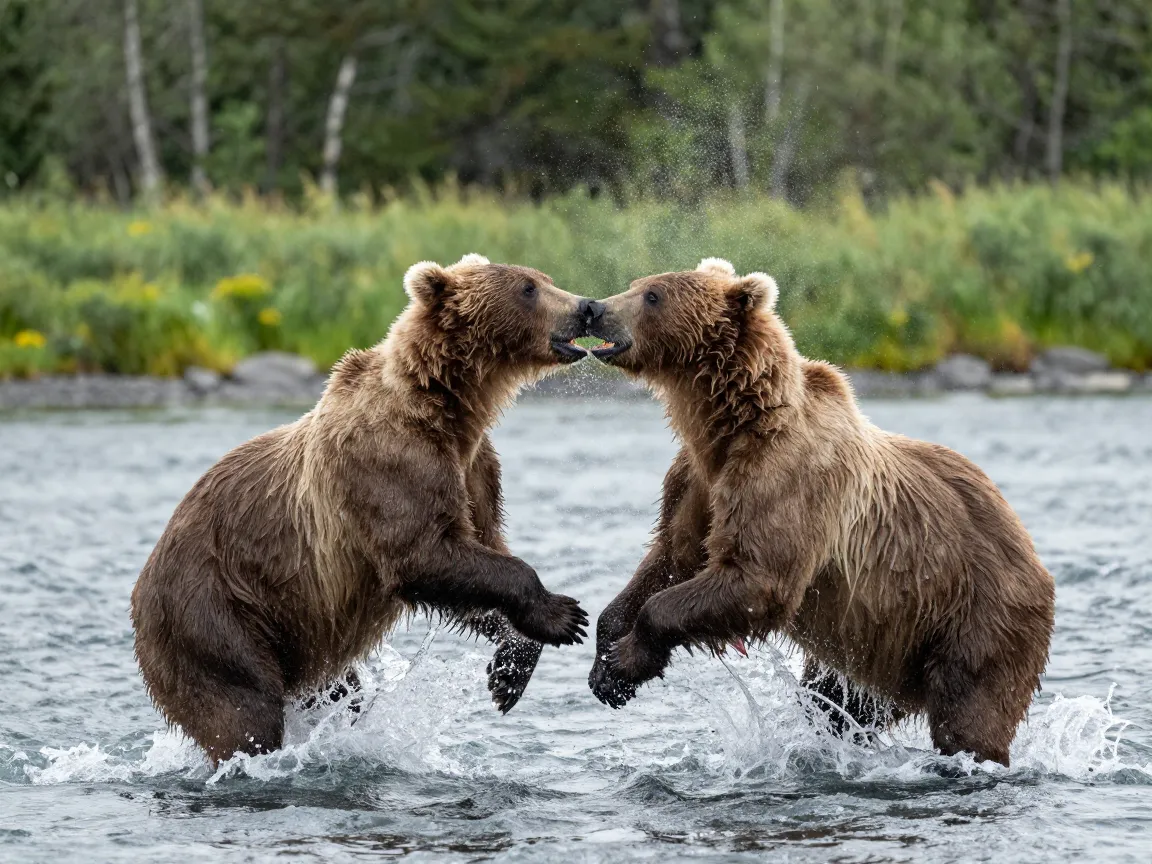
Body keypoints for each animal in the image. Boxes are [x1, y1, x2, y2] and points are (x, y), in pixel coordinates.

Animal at [131, 254, 594, 764]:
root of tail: (139, 591)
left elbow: (480, 551)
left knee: (336, 691)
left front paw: (510, 669)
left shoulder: (475, 469)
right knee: (241, 710)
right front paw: (564, 614)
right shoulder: (391, 465)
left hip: (294, 635)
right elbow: (424, 553)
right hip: (213, 615)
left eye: (545, 280)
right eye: (528, 288)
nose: (586, 306)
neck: (447, 407)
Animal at [583, 257, 1055, 767]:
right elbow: (673, 554)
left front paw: (628, 657)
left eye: (653, 296)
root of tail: (1034, 555)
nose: (595, 308)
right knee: (834, 703)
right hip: (882, 644)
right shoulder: (696, 481)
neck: (730, 423)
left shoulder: (786, 478)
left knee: (970, 716)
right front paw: (605, 663)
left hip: (978, 618)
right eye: (636, 285)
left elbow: (756, 577)